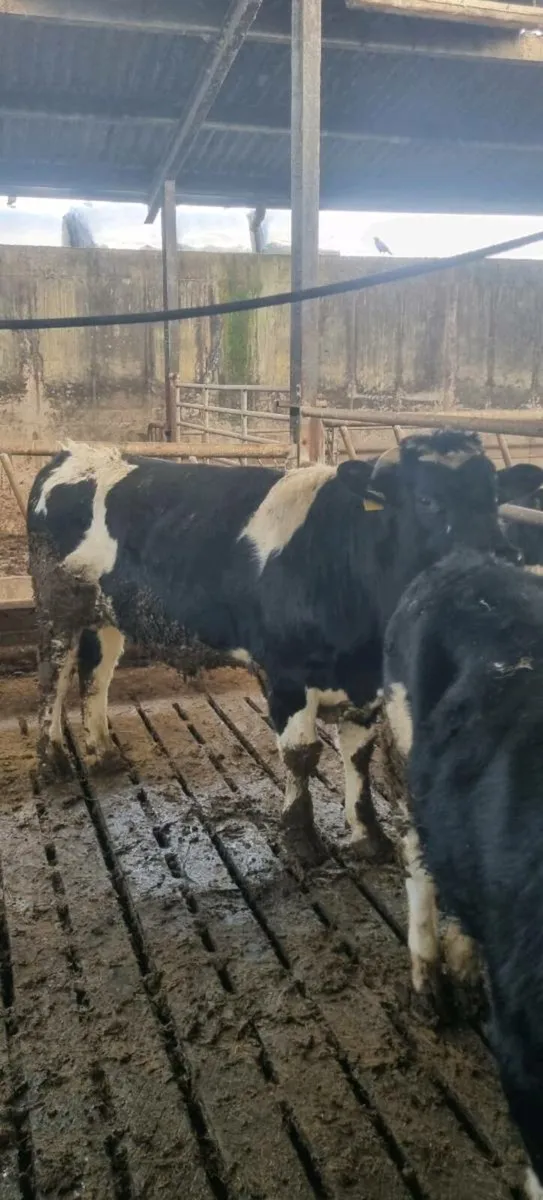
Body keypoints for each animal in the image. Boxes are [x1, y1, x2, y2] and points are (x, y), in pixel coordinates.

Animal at [27, 430, 526, 859]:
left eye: (495, 498)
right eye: (426, 500)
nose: (501, 562)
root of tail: (73, 452)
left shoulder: (366, 682)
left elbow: (358, 757)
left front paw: (368, 835)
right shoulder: (287, 674)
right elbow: (301, 756)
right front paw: (301, 839)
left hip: (107, 612)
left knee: (97, 673)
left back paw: (103, 752)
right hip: (58, 602)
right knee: (54, 675)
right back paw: (53, 759)